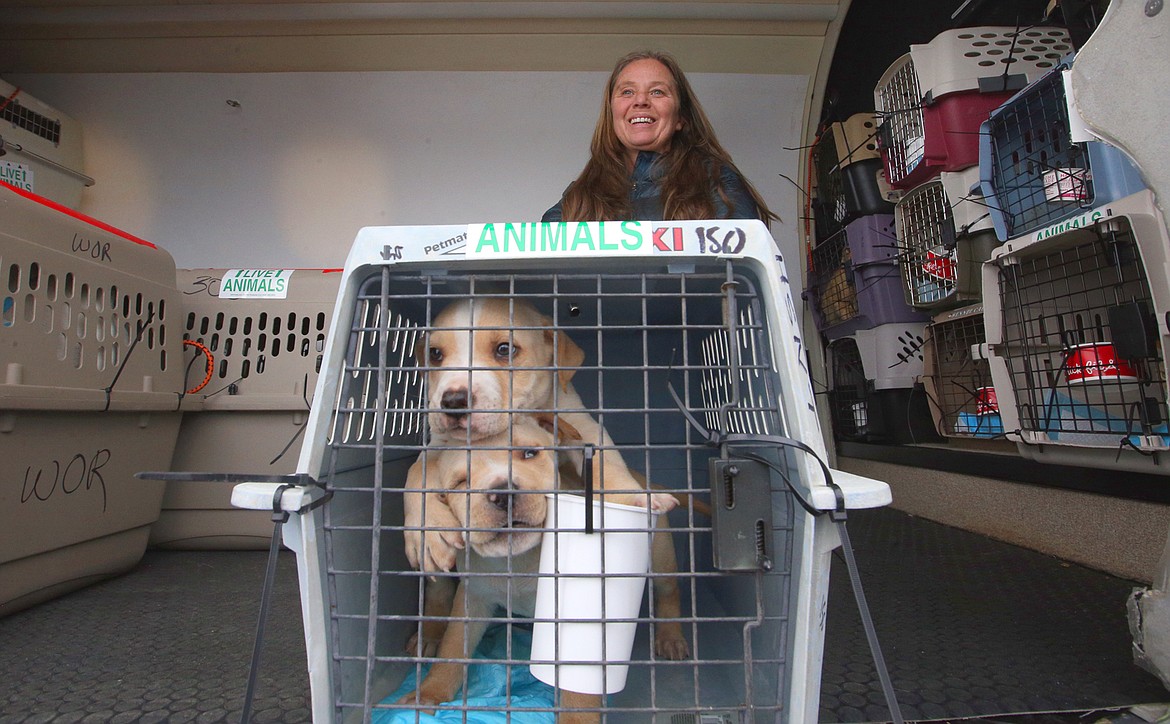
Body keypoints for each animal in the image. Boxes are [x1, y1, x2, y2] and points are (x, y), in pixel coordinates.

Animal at [402, 416, 603, 720]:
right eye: (461, 481)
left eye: (530, 454)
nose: (502, 494)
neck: (517, 561)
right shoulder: (473, 598)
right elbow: (453, 647)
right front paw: (428, 693)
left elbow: (578, 679)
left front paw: (578, 718)